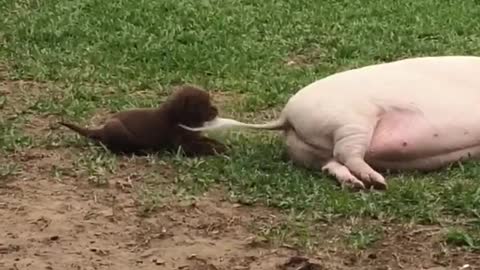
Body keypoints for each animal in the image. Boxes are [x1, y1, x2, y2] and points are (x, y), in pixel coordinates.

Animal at [58, 84, 227, 156]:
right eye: (203, 104)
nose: (216, 110)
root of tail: (101, 129)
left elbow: (207, 141)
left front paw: (221, 144)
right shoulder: (182, 144)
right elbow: (201, 147)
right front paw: (219, 149)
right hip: (117, 129)